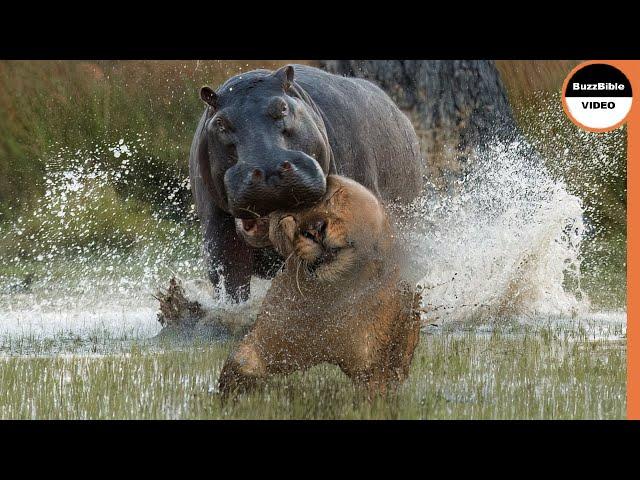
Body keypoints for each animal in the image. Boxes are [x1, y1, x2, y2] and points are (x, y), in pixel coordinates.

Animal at [218, 176, 422, 398]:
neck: (332, 298)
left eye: (330, 197)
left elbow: (380, 385)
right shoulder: (272, 337)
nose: (315, 230)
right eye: (288, 218)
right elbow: (239, 363)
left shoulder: (374, 364)